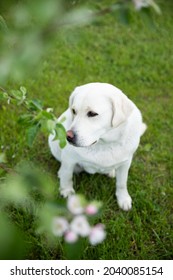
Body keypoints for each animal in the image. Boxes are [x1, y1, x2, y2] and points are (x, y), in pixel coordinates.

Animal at [48, 82, 146, 210]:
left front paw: (123, 199)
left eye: (92, 114)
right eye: (74, 111)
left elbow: (122, 183)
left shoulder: (126, 163)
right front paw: (66, 191)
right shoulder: (69, 160)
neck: (103, 144)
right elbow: (67, 176)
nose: (68, 136)